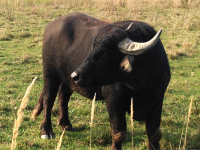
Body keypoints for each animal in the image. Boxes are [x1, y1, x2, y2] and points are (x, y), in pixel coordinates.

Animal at [31, 11, 170, 149]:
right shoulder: (113, 101)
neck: (140, 86)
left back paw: (66, 124)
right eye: (92, 48)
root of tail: (52, 25)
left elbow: (154, 134)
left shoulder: (157, 100)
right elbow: (118, 133)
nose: (75, 75)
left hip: (66, 80)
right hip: (50, 73)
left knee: (63, 97)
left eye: (105, 53)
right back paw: (46, 131)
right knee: (48, 99)